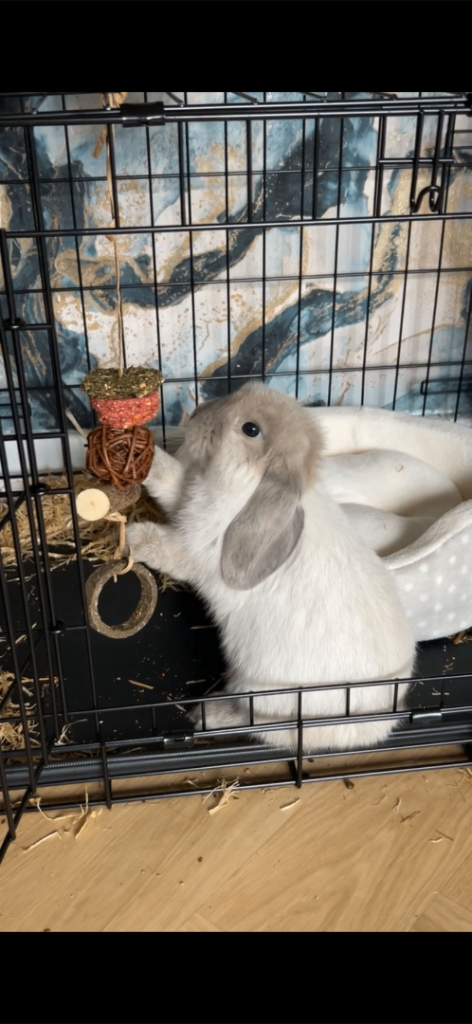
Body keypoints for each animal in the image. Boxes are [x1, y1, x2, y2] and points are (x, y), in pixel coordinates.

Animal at [126, 383, 415, 753]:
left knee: (263, 726)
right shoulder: (184, 499)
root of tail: (373, 724)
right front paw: (142, 450)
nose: (196, 415)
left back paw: (206, 715)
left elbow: (164, 548)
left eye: (251, 429)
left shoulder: (191, 549)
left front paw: (132, 537)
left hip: (263, 693)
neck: (251, 488)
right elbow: (170, 479)